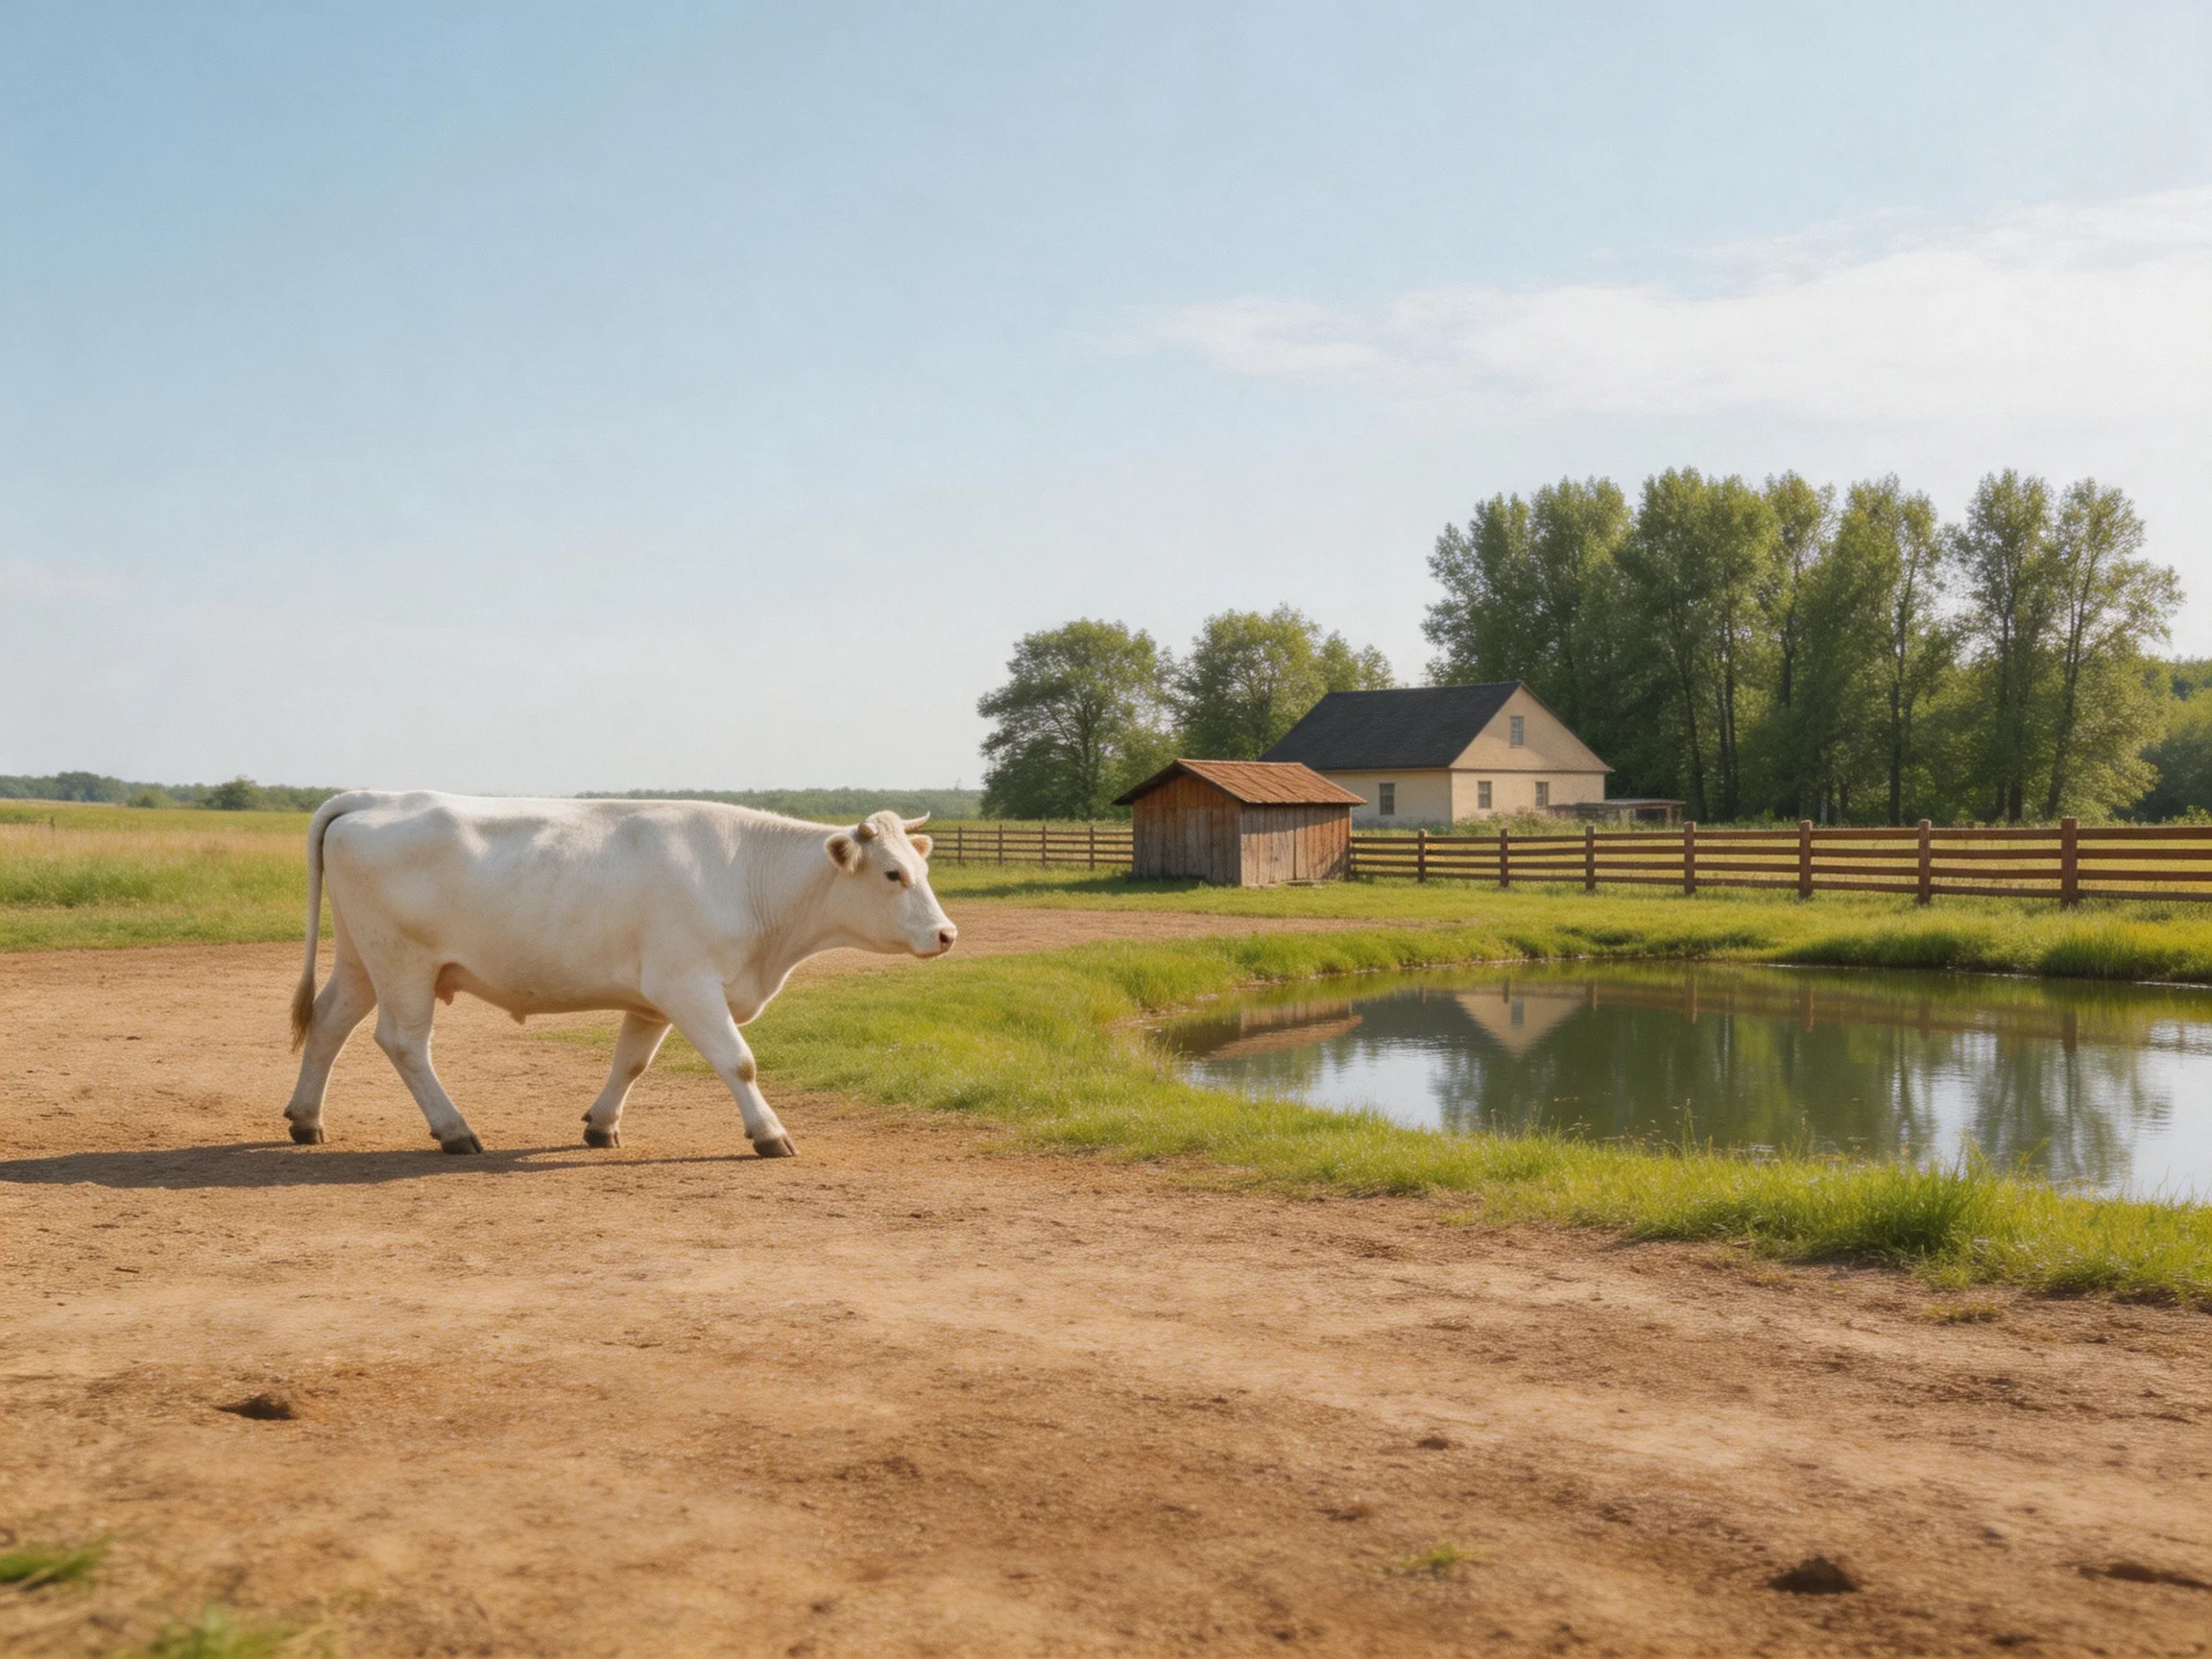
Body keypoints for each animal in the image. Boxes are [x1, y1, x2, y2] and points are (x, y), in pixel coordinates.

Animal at [282, 792, 957, 1158]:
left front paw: (601, 1125)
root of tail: (373, 797)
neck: (748, 877)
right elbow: (739, 1061)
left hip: (362, 959)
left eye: (921, 871)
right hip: (404, 964)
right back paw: (454, 1130)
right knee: (404, 1042)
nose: (947, 934)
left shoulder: (653, 997)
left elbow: (630, 1062)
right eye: (893, 874)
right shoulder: (688, 985)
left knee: (329, 1022)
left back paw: (307, 1118)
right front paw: (769, 1133)